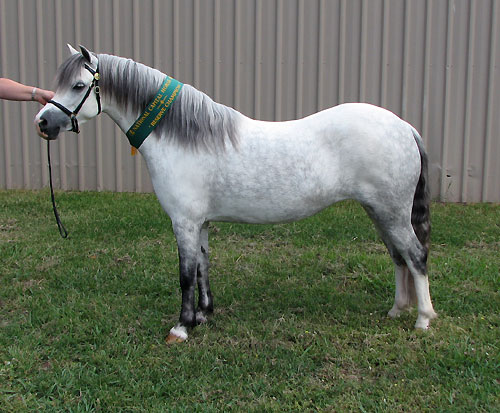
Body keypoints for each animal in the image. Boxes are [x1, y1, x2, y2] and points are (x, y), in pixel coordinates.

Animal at [35, 45, 436, 342]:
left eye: (78, 86)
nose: (43, 123)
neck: (182, 136)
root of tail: (404, 127)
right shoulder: (200, 222)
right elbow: (202, 267)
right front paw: (204, 315)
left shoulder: (184, 222)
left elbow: (185, 273)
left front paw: (181, 327)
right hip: (379, 212)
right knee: (399, 257)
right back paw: (396, 310)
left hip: (392, 212)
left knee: (415, 255)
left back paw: (422, 320)